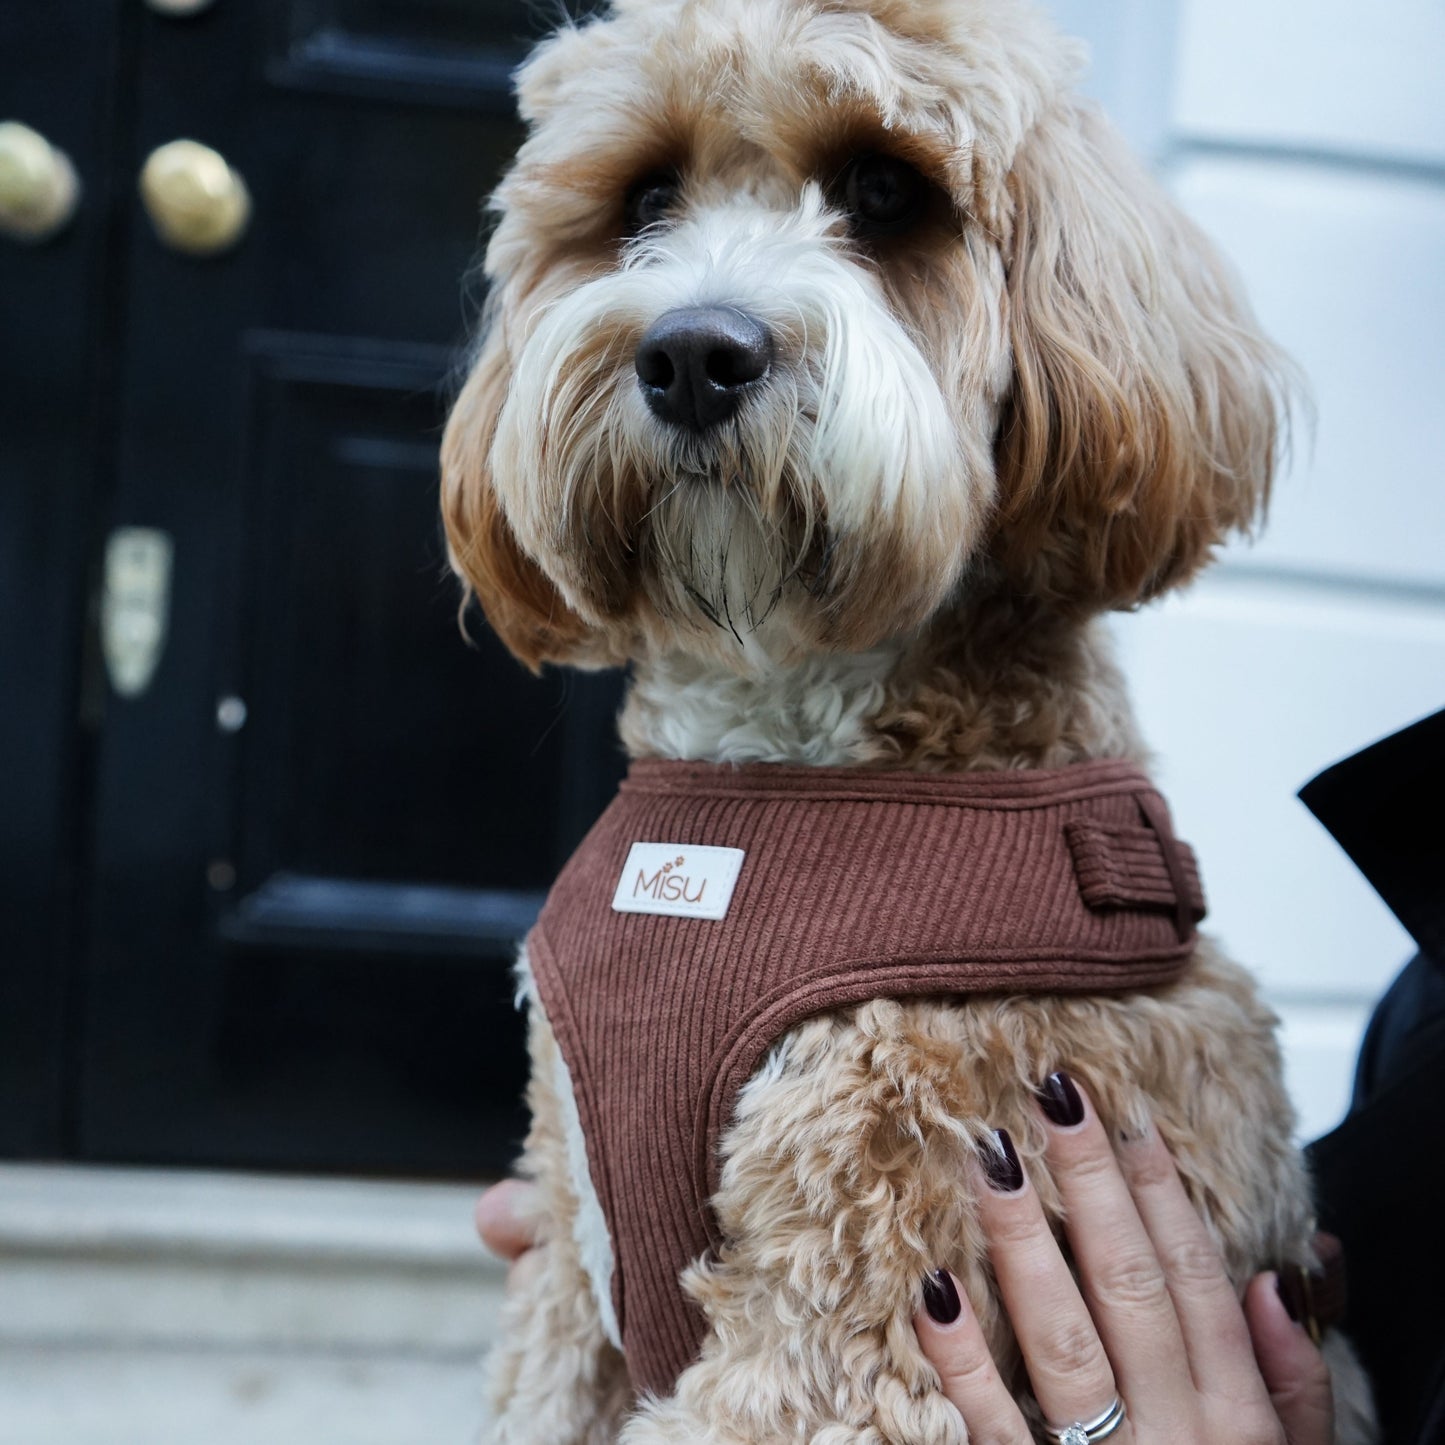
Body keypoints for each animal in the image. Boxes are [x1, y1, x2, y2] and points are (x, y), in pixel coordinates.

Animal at [439, 0, 1375, 1439]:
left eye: (886, 192)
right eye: (646, 197)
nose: (693, 352)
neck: (765, 779)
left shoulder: (859, 1294)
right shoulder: (565, 1261)